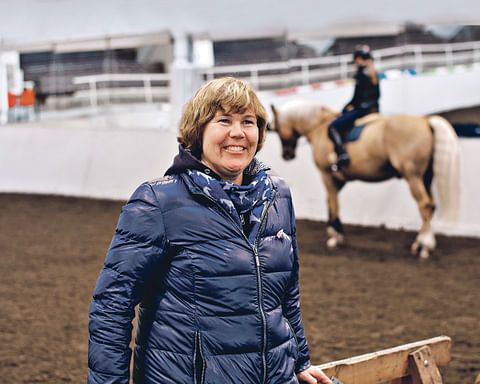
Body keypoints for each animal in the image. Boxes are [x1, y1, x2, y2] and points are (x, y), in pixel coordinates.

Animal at [270, 100, 462, 260]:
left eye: (277, 128)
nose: (287, 155)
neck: (319, 126)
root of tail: (426, 121)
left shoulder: (327, 174)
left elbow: (333, 202)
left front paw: (334, 237)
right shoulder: (338, 178)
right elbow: (330, 202)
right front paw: (336, 233)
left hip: (413, 176)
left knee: (424, 205)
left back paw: (425, 247)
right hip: (426, 177)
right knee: (431, 205)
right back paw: (419, 244)